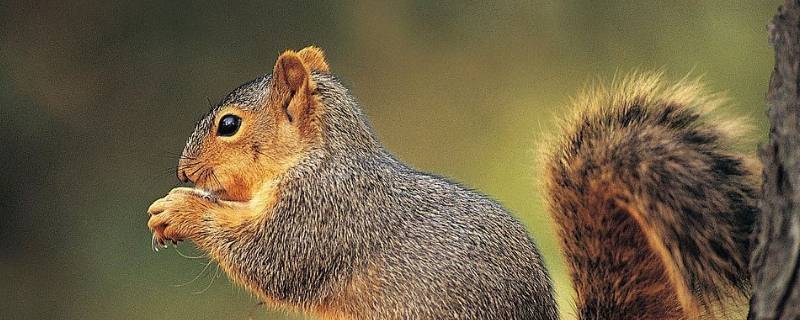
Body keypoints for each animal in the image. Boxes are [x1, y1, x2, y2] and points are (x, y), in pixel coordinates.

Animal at [145, 46, 756, 318]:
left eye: (229, 125)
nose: (181, 171)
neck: (319, 156)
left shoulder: (324, 212)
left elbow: (271, 258)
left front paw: (180, 209)